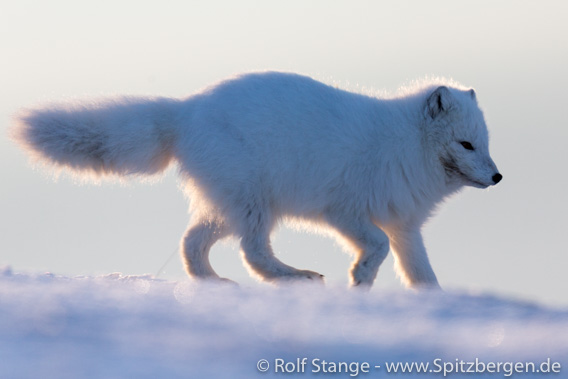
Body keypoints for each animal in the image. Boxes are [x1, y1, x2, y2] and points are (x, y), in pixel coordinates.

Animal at [13, 72, 502, 288]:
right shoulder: (344, 211)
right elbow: (377, 246)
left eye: (484, 143)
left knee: (192, 243)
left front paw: (433, 303)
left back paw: (215, 284)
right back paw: (297, 277)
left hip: (226, 206)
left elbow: (421, 272)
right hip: (254, 204)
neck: (405, 145)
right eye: (466, 145)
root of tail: (187, 110)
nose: (498, 176)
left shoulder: (404, 225)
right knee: (253, 253)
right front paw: (360, 276)